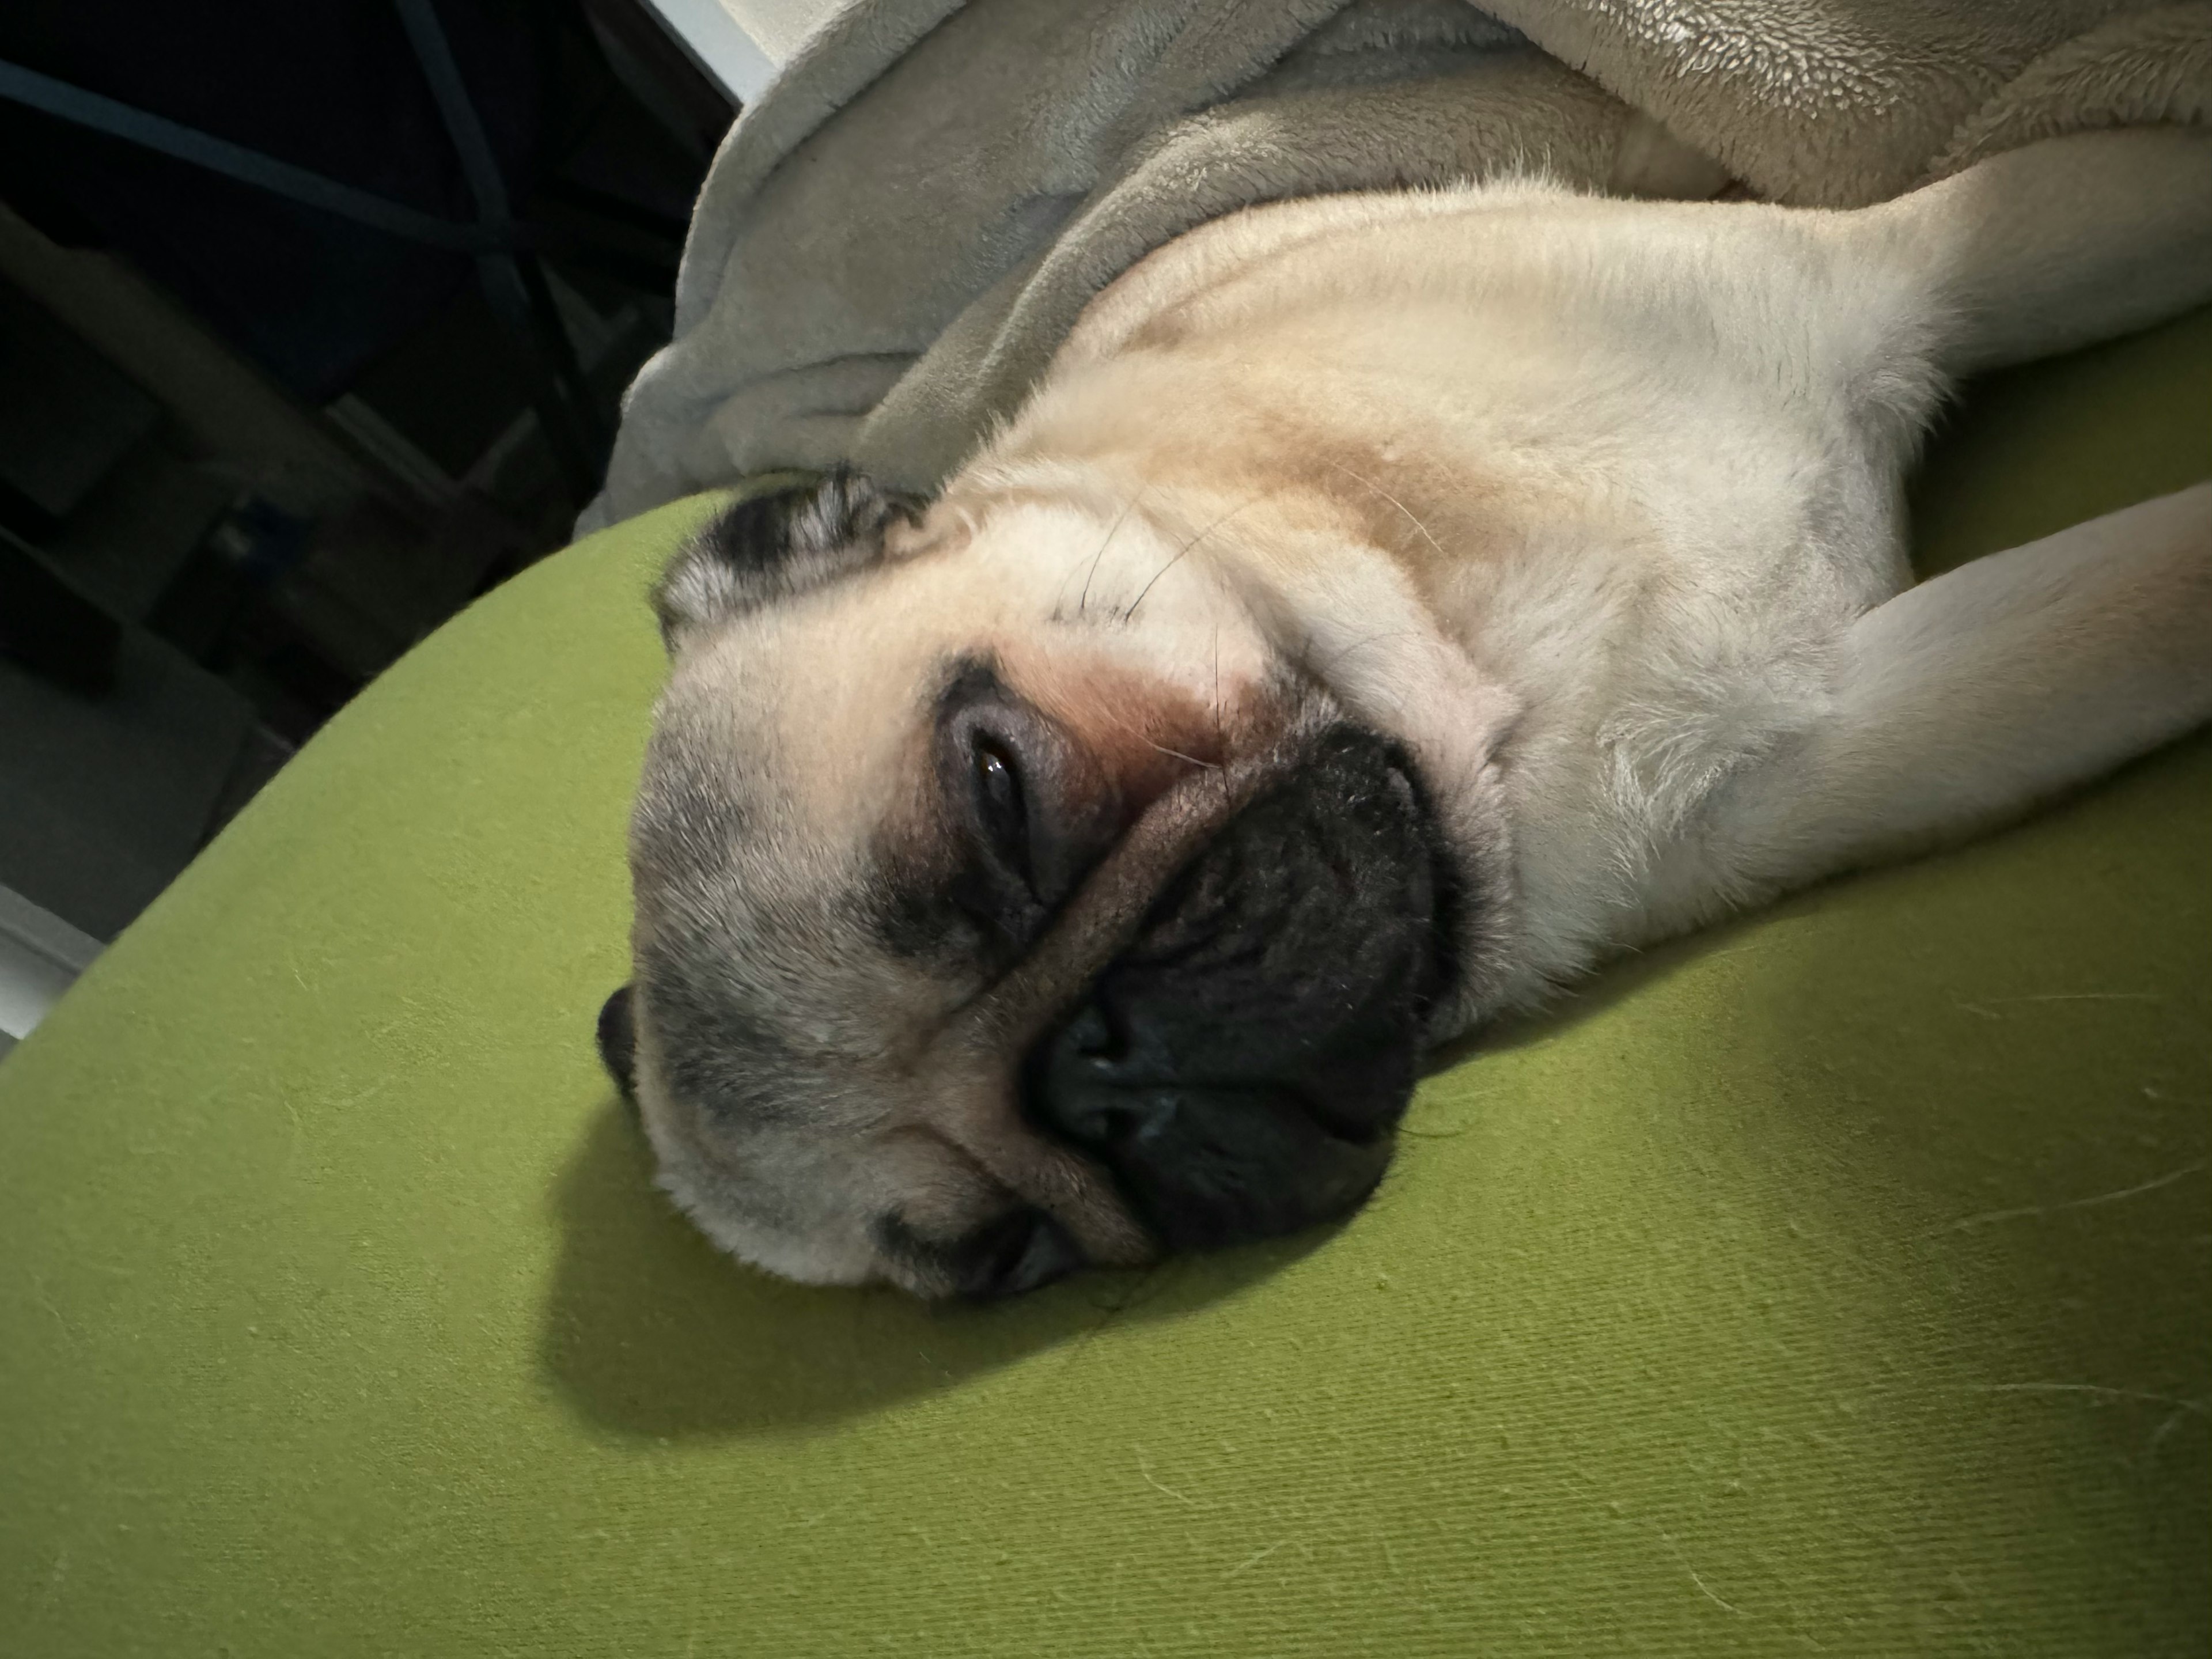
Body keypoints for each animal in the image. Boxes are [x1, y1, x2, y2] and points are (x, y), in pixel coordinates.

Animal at [597, 126, 2212, 1300]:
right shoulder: (1836, 740)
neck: (1450, 632)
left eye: (1002, 794)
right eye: (1013, 1256)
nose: (1098, 1068)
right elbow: (2145, 597)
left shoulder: (1923, 258)